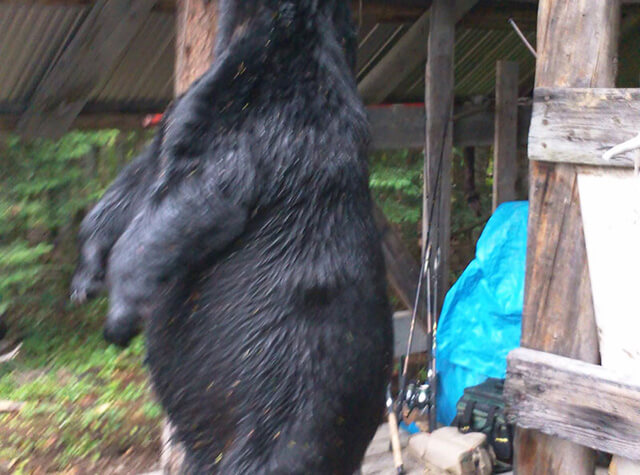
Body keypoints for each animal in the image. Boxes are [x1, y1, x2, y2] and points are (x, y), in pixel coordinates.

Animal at [72, 1, 392, 474]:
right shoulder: (190, 111)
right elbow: (136, 180)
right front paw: (86, 275)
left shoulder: (267, 110)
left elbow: (202, 192)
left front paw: (119, 316)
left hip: (273, 426)